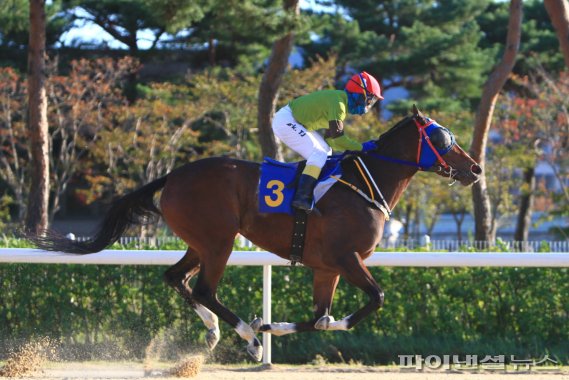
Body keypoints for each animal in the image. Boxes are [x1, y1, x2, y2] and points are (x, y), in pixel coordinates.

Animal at [28, 104, 482, 362]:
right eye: (443, 137)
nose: (475, 168)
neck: (363, 185)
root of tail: (174, 175)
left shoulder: (327, 268)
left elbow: (320, 319)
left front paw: (271, 326)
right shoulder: (346, 259)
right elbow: (374, 301)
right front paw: (261, 329)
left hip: (200, 242)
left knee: (177, 278)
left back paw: (215, 330)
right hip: (219, 241)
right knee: (204, 288)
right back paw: (246, 336)